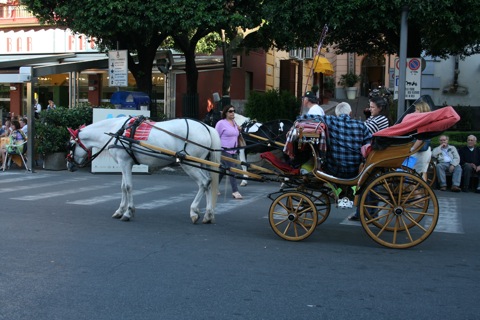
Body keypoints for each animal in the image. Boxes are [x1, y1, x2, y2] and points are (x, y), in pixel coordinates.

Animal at [67, 116, 221, 224]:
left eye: (70, 145)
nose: (69, 165)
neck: (118, 131)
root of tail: (207, 127)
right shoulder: (124, 164)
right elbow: (123, 187)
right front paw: (120, 210)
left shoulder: (125, 163)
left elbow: (128, 187)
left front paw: (128, 212)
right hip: (201, 163)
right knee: (209, 183)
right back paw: (208, 214)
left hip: (189, 163)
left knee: (203, 182)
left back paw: (194, 211)